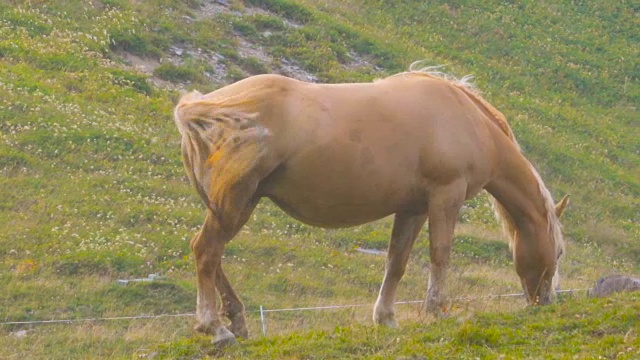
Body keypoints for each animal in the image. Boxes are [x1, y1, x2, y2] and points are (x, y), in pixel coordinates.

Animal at [172, 67, 568, 346]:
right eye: (560, 251)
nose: (548, 301)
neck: (466, 118)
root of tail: (203, 107)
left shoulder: (412, 208)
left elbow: (396, 262)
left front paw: (386, 317)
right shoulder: (446, 197)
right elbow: (440, 255)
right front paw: (437, 310)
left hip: (240, 203)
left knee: (213, 258)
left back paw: (236, 322)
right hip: (234, 202)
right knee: (206, 251)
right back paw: (216, 328)